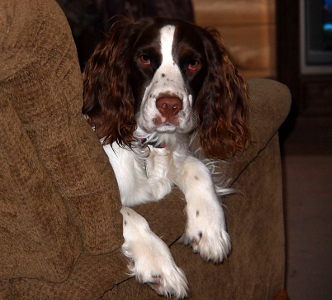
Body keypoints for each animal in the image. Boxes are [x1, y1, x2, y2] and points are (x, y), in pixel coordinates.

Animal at [83, 17, 249, 298]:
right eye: (145, 59)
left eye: (193, 63)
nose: (169, 106)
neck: (146, 146)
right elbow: (127, 213)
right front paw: (159, 265)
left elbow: (197, 167)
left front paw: (209, 228)